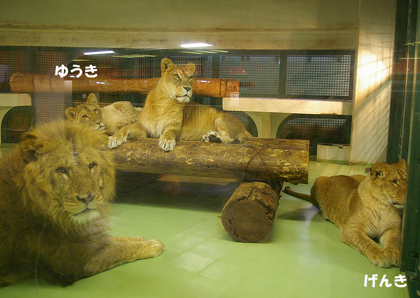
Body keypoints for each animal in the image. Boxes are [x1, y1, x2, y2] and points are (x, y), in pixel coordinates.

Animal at [0, 121, 162, 286]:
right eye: (62, 170)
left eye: (91, 165)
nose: (88, 198)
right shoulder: (72, 261)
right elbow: (118, 249)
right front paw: (152, 245)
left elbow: (112, 239)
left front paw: (141, 239)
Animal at [108, 58, 253, 151]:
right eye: (176, 76)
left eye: (190, 77)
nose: (188, 88)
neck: (164, 102)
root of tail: (243, 126)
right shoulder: (144, 129)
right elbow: (125, 128)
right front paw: (114, 138)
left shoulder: (173, 126)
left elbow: (169, 132)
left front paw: (167, 141)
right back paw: (210, 137)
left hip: (221, 119)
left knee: (231, 139)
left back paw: (212, 137)